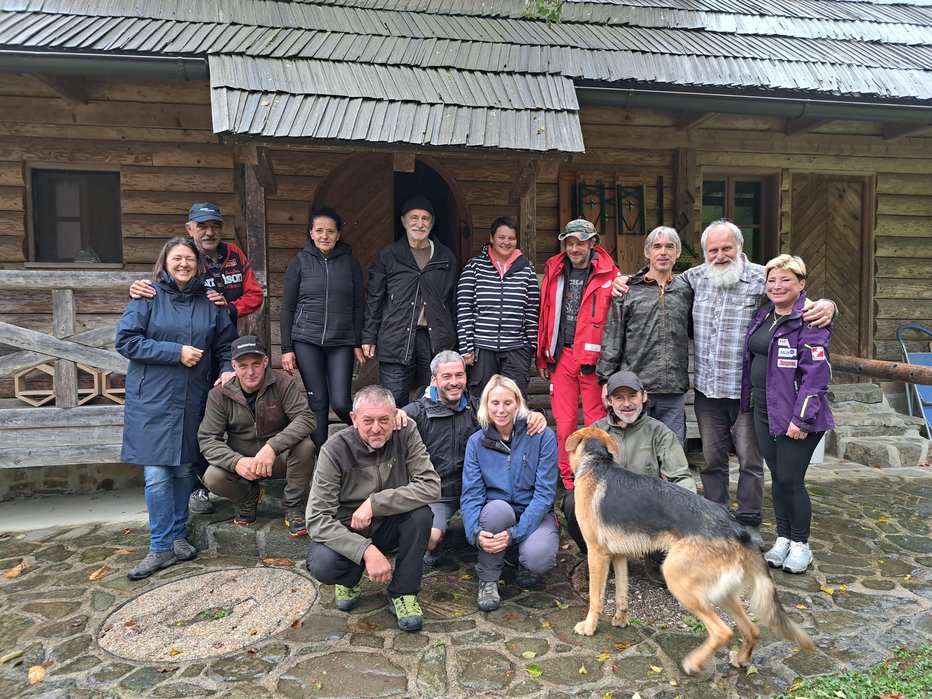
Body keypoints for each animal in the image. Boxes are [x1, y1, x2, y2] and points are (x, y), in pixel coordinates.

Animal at [564, 430, 812, 676]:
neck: (596, 462)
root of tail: (736, 529)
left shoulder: (597, 554)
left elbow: (596, 598)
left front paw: (589, 627)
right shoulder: (619, 556)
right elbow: (621, 594)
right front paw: (620, 619)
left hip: (678, 580)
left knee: (722, 631)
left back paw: (693, 663)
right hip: (722, 595)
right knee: (751, 630)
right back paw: (741, 660)